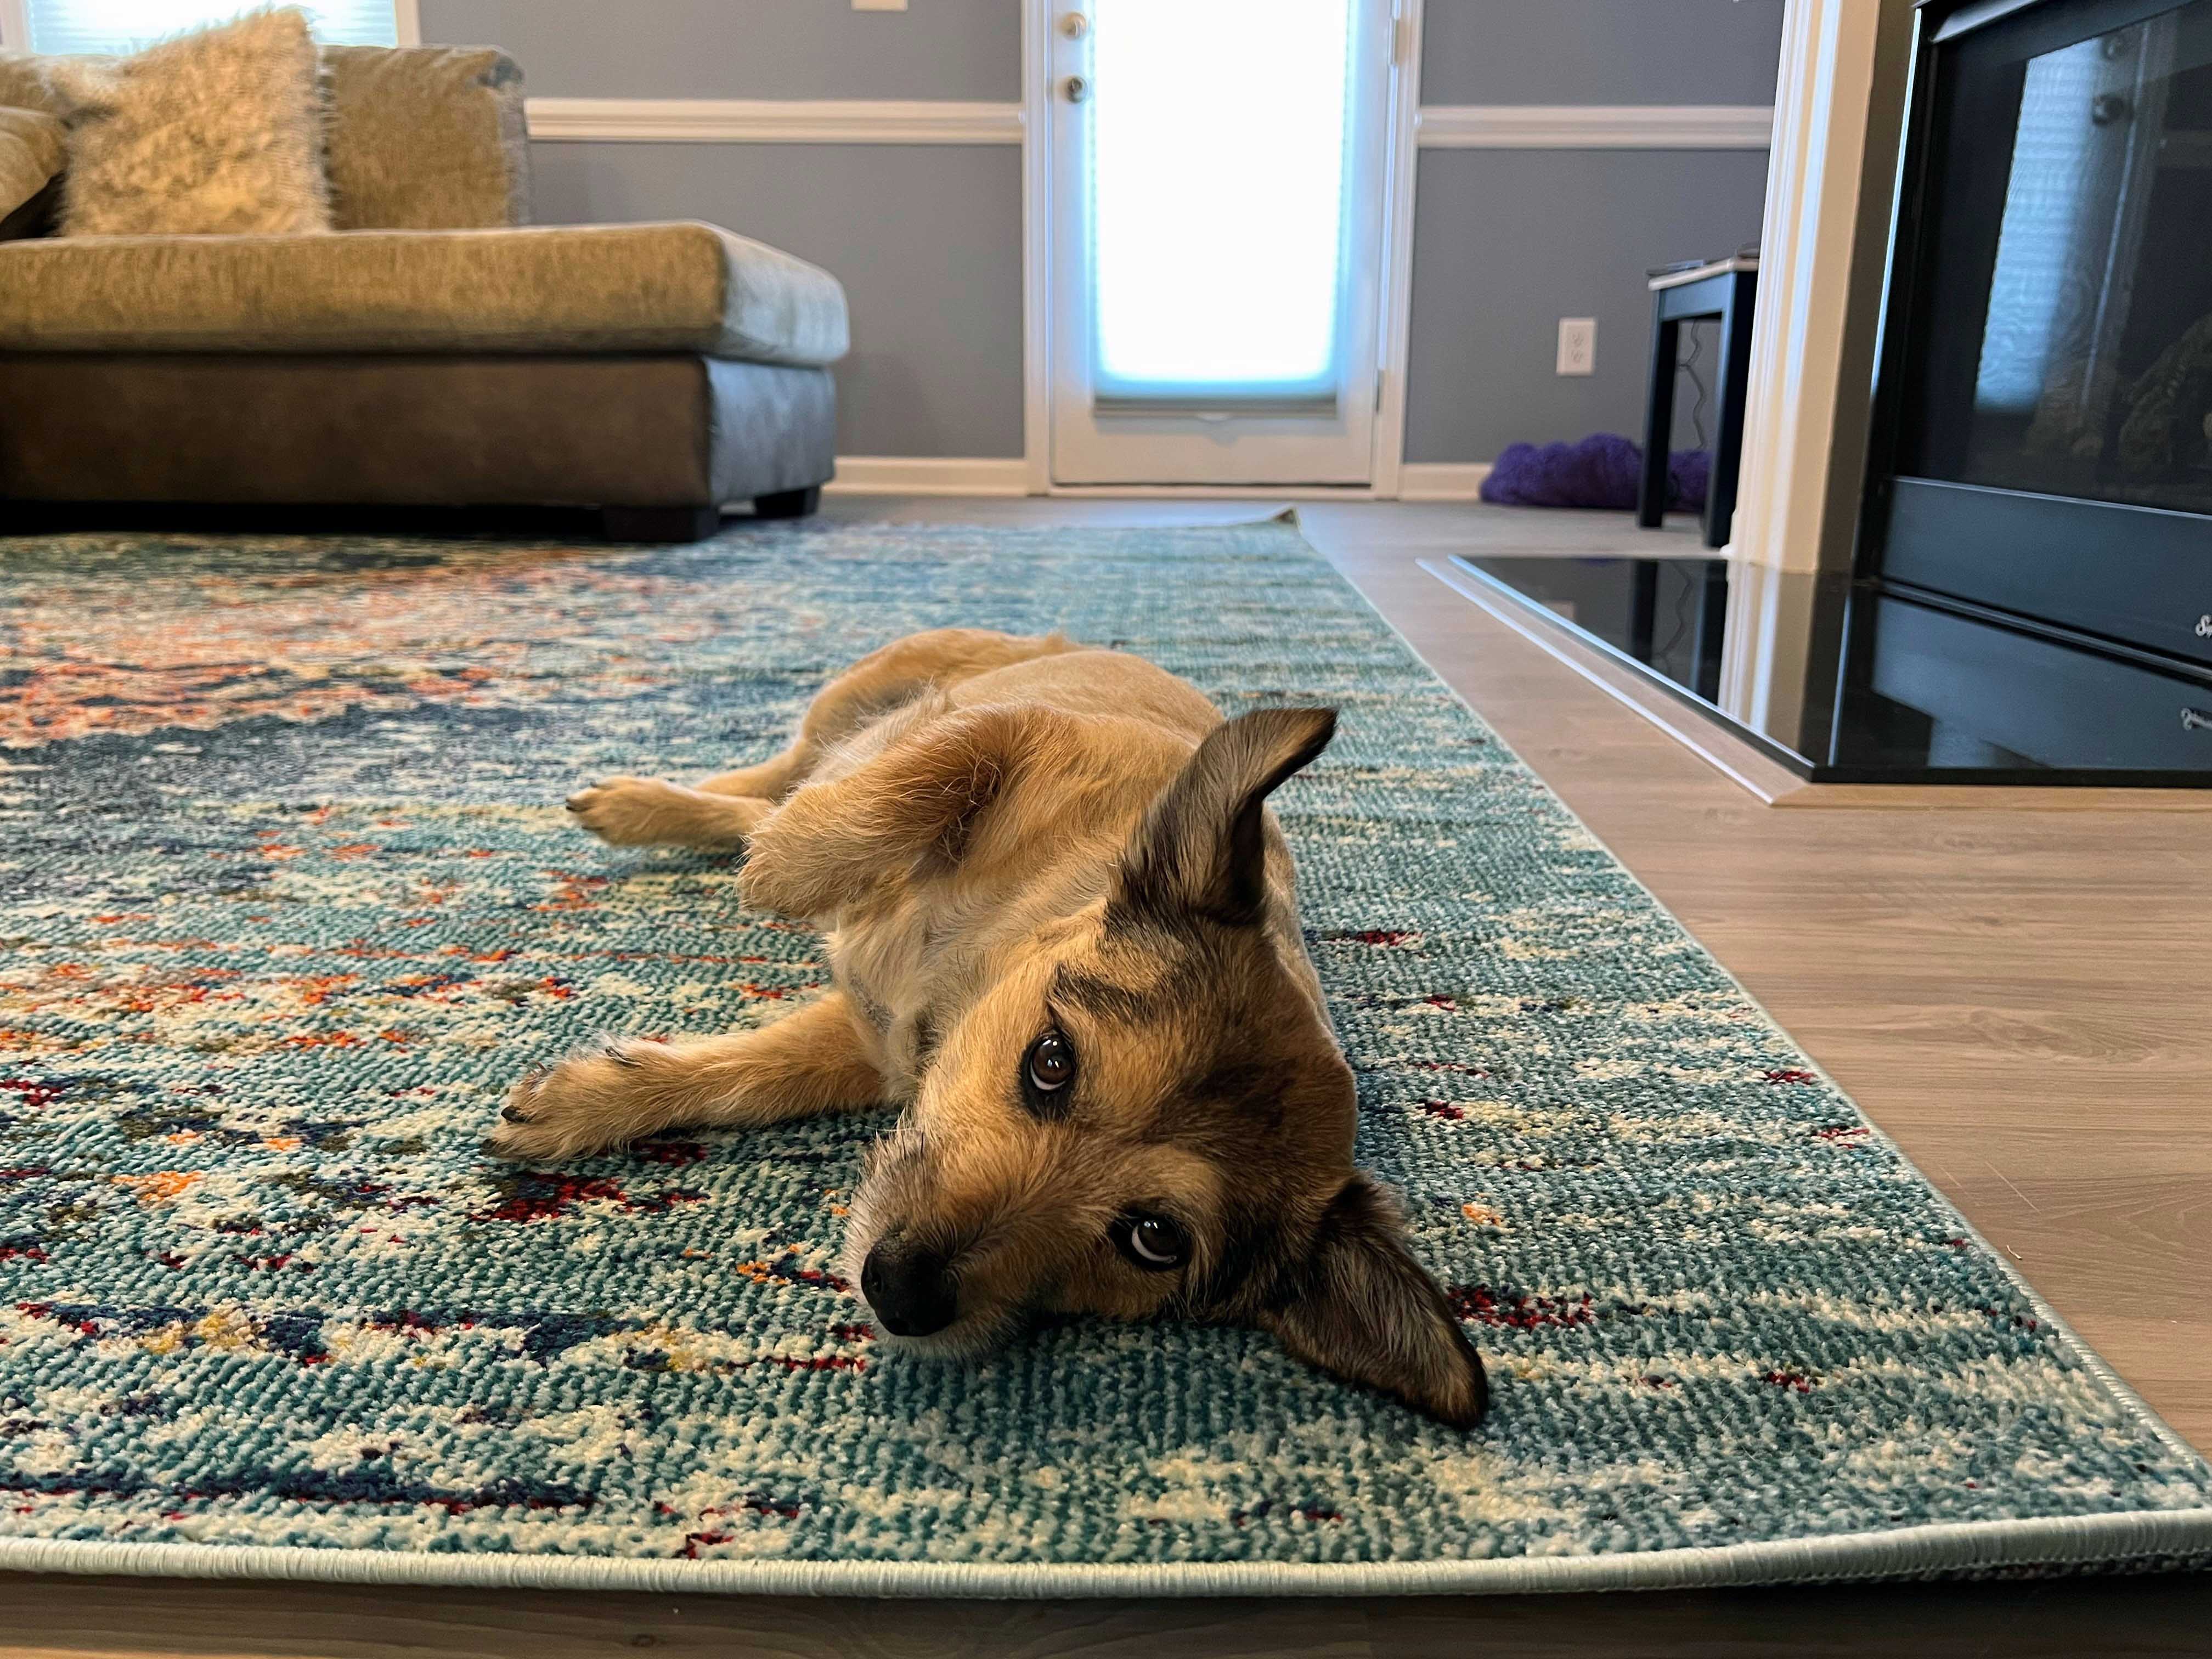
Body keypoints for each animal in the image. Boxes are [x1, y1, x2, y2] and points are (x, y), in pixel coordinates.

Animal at [484, 628, 1486, 1433]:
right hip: (874, 683)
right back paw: (665, 806)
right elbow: (942, 767)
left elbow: (747, 1077)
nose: (899, 1292)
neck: (960, 967)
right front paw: (792, 866)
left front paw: (590, 1101)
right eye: (1052, 1061)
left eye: (1152, 1240)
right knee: (786, 773)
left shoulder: (873, 1047)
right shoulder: (1028, 734)